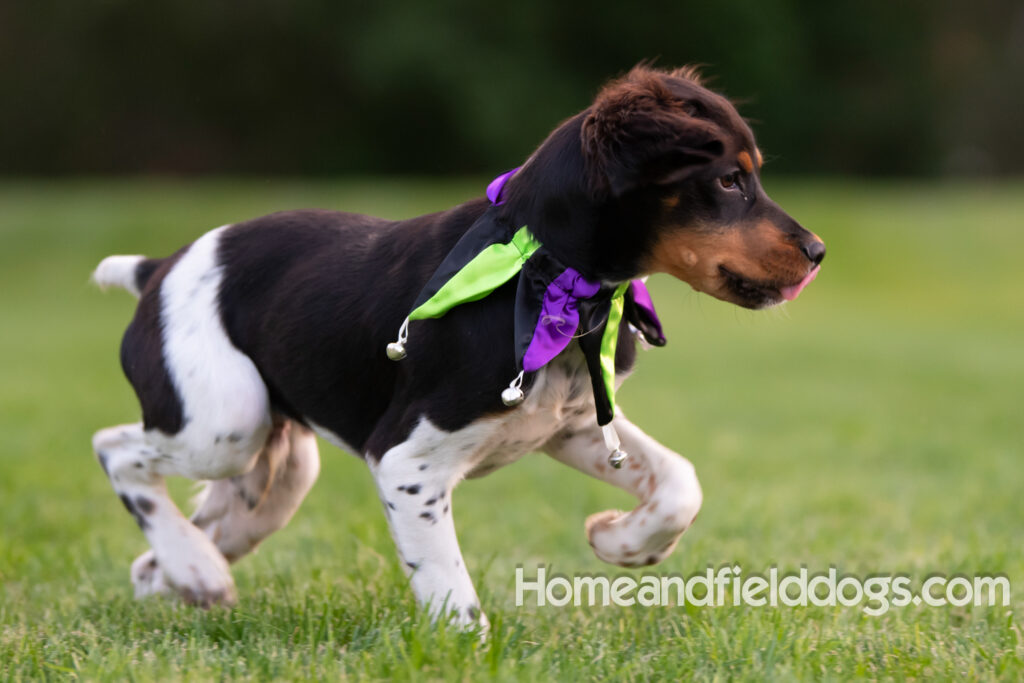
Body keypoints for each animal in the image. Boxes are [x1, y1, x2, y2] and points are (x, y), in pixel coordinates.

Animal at [90, 65, 823, 630]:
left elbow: (678, 482)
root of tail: (159, 267)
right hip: (224, 424)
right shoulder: (406, 461)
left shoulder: (571, 425)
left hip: (274, 467)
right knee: (116, 448)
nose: (817, 252)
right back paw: (197, 569)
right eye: (729, 180)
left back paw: (190, 573)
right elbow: (450, 590)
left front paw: (619, 541)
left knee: (171, 538)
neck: (545, 272)